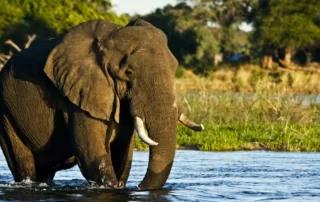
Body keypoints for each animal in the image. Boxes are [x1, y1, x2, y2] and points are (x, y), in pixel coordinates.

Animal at [0, 18, 204, 189]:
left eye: (175, 69)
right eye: (128, 73)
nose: (139, 188)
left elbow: (123, 153)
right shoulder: (77, 95)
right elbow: (91, 152)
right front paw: (114, 187)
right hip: (6, 113)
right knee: (26, 165)